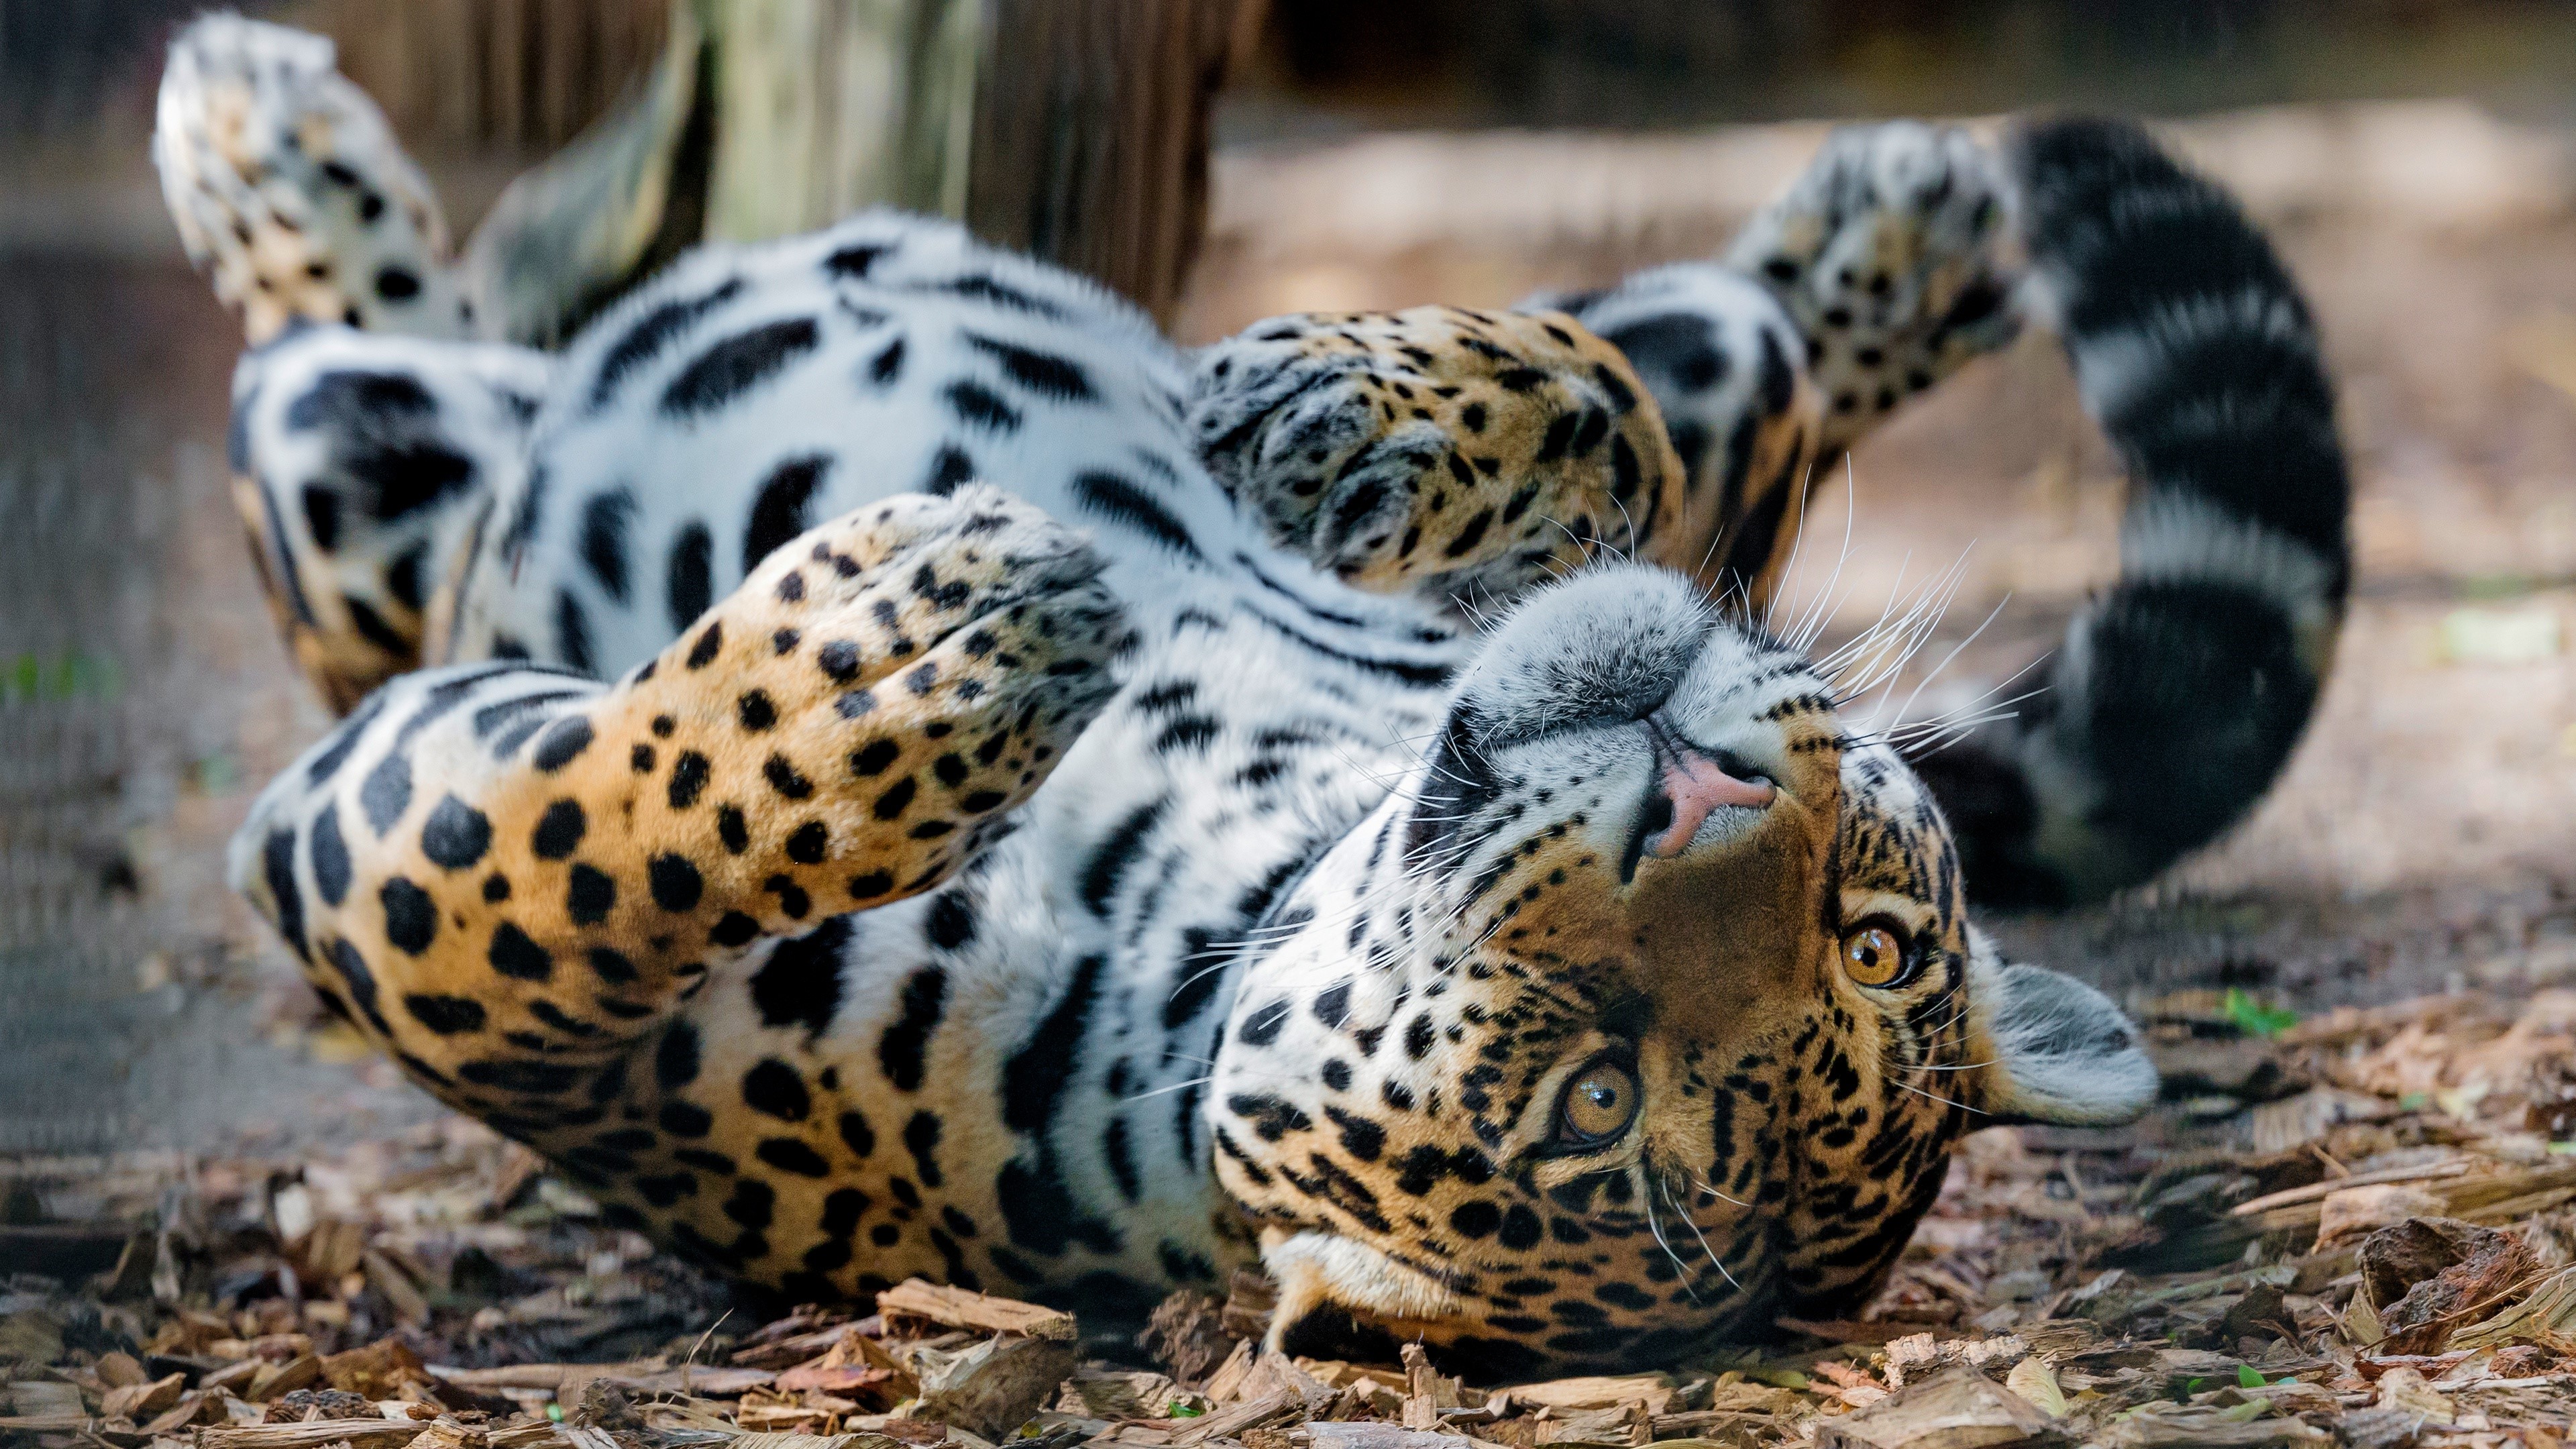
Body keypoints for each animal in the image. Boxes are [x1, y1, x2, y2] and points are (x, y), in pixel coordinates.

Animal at [161, 15, 2348, 1373]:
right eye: (1880, 939)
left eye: (1595, 1099)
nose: (1704, 795)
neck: (1272, 773)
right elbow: (1605, 413)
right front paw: (1335, 424)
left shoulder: (439, 933)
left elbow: (541, 866)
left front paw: (909, 665)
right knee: (1737, 355)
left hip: (354, 508)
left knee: (343, 421)